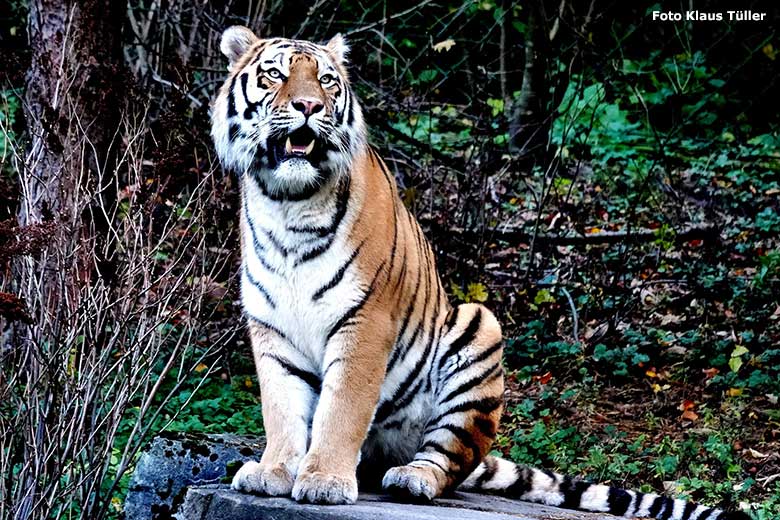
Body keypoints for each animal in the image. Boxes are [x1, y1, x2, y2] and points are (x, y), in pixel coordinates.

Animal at [210, 25, 752, 520]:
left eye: (326, 80)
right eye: (275, 74)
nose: (309, 107)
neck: (289, 203)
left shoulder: (364, 320)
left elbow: (342, 409)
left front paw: (323, 480)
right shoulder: (271, 327)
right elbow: (281, 411)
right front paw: (273, 472)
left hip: (476, 328)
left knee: (448, 461)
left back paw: (410, 478)